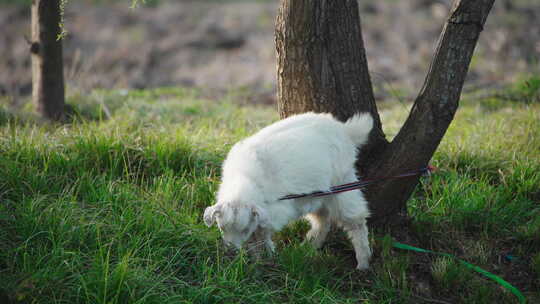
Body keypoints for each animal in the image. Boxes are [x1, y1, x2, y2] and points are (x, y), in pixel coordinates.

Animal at [205, 113, 374, 270]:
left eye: (245, 230)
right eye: (222, 228)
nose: (231, 251)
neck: (244, 178)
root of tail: (345, 130)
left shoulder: (274, 210)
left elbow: (261, 234)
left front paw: (264, 256)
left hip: (343, 185)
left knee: (356, 222)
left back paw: (363, 263)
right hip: (316, 194)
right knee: (322, 221)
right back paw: (308, 248)